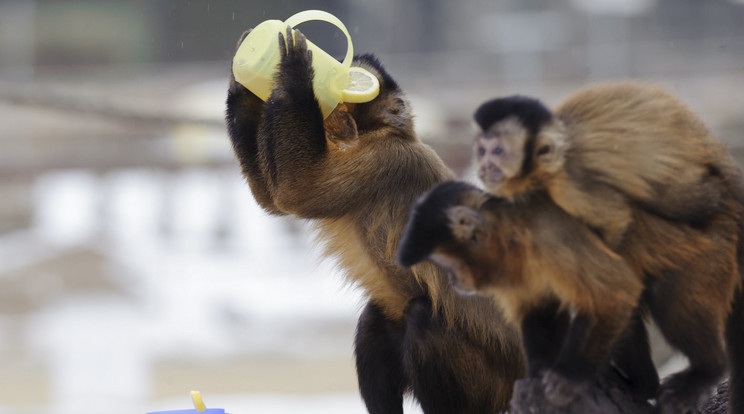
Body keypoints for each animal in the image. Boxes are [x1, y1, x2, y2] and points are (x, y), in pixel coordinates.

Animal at [225, 27, 524, 412]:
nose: (335, 107)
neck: (386, 133)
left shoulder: (387, 159)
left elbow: (296, 192)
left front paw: (294, 72)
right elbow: (274, 199)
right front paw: (244, 79)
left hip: (494, 384)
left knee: (422, 318)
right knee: (377, 319)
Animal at [402, 142, 744, 410]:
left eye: (447, 262)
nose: (455, 281)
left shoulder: (552, 246)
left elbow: (612, 293)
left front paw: (574, 378)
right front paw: (542, 373)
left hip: (708, 255)